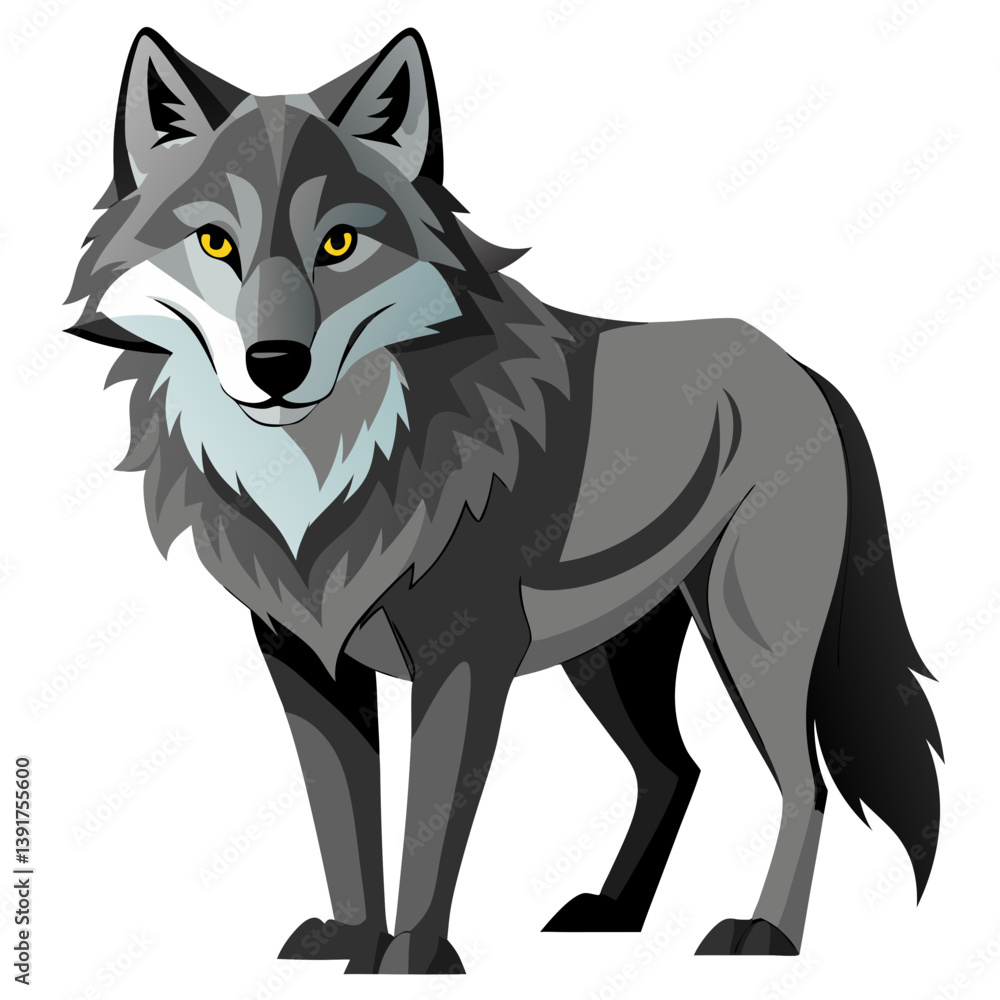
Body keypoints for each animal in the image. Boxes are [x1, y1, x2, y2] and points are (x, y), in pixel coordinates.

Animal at [66, 27, 942, 973]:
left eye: (339, 243)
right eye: (216, 242)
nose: (275, 364)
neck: (328, 477)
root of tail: (800, 366)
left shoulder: (467, 654)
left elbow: (427, 826)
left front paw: (410, 955)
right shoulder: (304, 659)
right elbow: (342, 815)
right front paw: (351, 937)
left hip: (753, 639)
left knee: (803, 784)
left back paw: (764, 934)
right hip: (609, 660)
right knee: (675, 770)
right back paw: (613, 914)